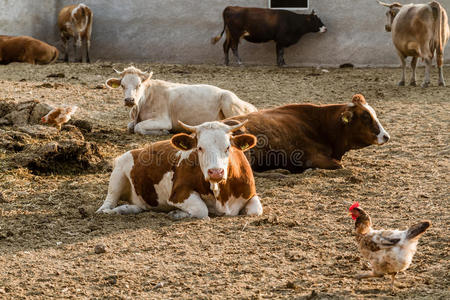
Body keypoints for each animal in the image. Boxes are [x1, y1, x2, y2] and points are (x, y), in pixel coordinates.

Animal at [96, 120, 262, 220]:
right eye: (199, 148)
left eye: (228, 147)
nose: (215, 172)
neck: (221, 194)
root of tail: (137, 150)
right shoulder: (178, 194)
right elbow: (202, 210)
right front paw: (176, 213)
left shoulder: (251, 194)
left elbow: (256, 210)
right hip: (118, 174)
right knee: (109, 200)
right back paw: (108, 211)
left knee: (138, 206)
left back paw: (126, 209)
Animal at [106, 67, 258, 136]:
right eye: (122, 85)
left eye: (138, 85)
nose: (129, 100)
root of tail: (252, 107)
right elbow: (130, 126)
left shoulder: (163, 119)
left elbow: (138, 127)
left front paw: (163, 132)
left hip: (228, 100)